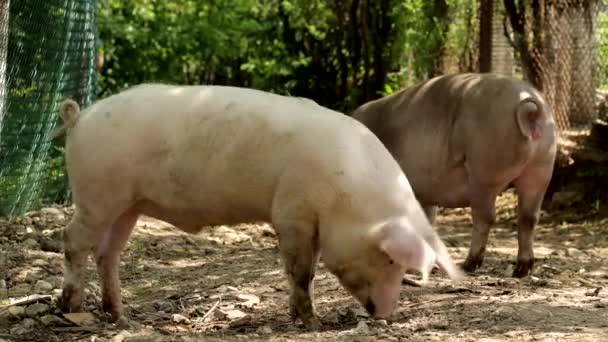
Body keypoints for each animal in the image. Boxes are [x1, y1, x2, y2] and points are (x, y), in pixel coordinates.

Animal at [58, 83, 466, 328]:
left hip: (127, 204)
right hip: (96, 194)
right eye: (391, 260)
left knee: (107, 252)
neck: (348, 195)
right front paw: (311, 324)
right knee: (73, 240)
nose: (386, 315)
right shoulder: (291, 212)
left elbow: (306, 271)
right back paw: (72, 309)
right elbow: (300, 271)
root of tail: (80, 117)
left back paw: (120, 318)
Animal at [352, 72, 556, 278]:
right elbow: (427, 221)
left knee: (486, 217)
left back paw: (468, 265)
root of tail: (531, 109)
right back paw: (521, 270)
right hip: (541, 168)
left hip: (485, 170)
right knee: (528, 217)